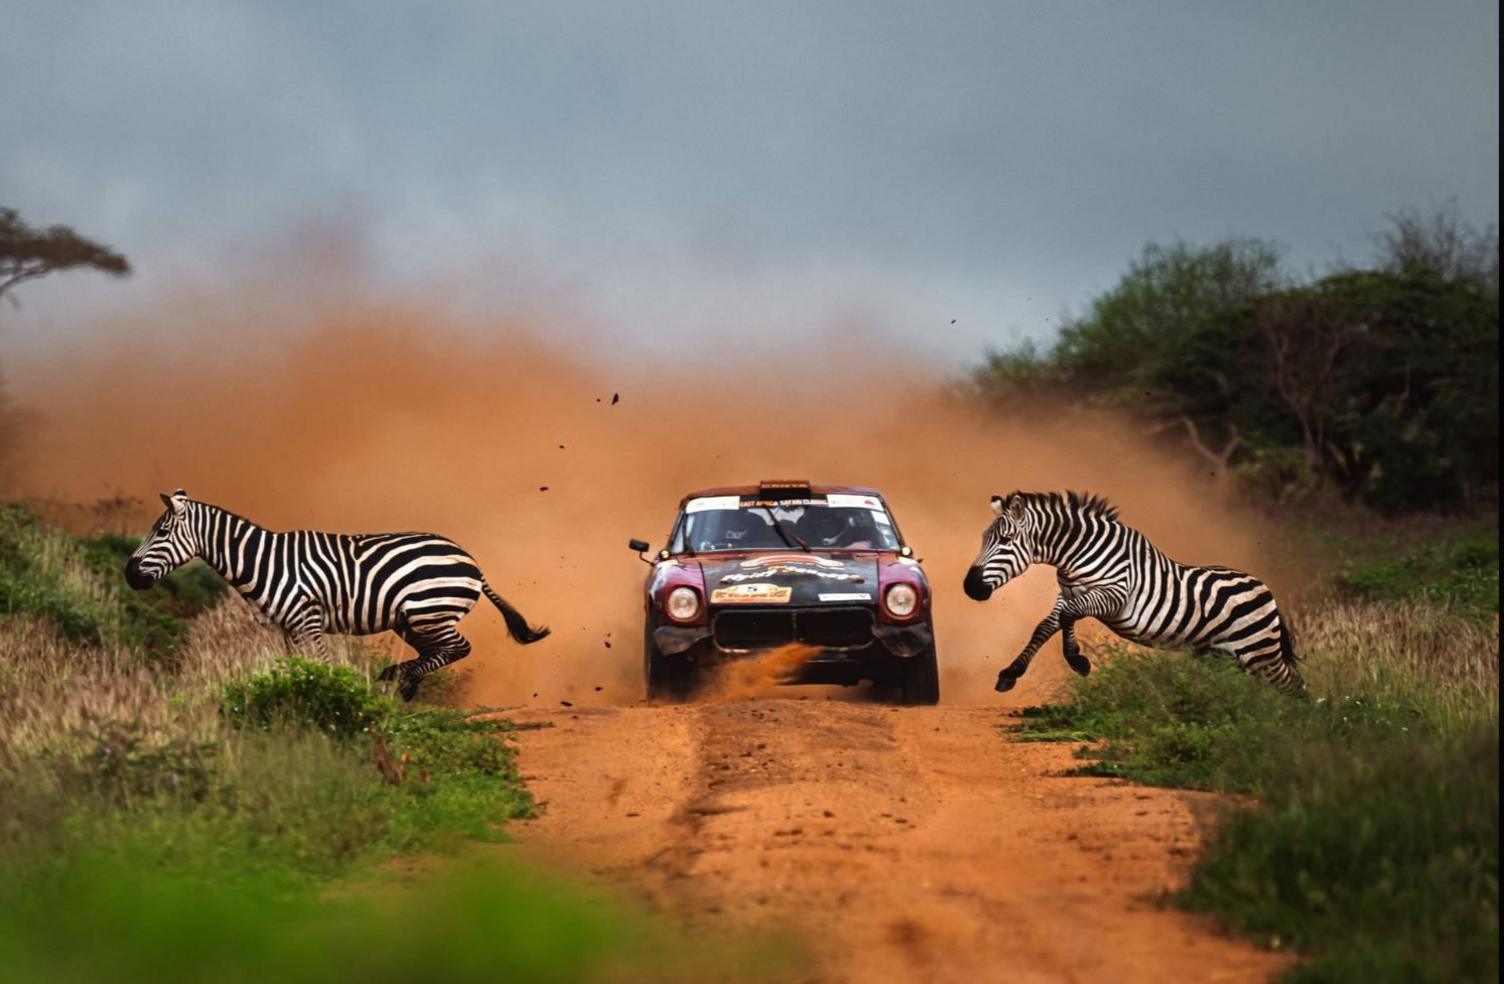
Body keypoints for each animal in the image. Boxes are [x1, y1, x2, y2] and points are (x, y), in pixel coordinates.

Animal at [123, 490, 547, 701]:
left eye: (161, 532)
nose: (128, 574)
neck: (264, 562)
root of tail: (471, 560)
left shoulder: (308, 618)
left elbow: (323, 667)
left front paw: (332, 697)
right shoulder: (287, 627)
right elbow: (295, 668)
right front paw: (295, 697)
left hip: (430, 610)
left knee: (458, 648)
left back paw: (397, 677)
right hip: (413, 621)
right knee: (437, 652)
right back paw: (406, 683)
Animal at [962, 490, 1305, 695]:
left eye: (1005, 540)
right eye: (984, 538)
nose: (970, 587)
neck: (1076, 554)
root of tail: (1267, 590)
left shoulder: (1115, 594)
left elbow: (1068, 617)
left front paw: (1077, 661)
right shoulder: (1068, 593)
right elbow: (1047, 625)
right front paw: (1011, 672)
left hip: (1258, 651)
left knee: (1293, 683)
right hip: (1224, 655)